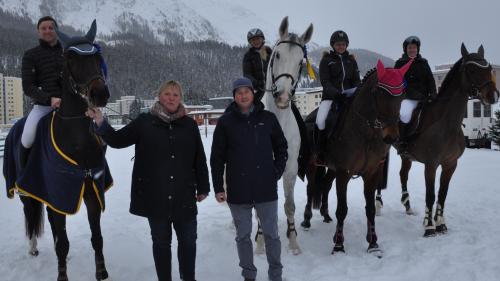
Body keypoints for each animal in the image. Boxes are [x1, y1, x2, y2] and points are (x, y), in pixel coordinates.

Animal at [2, 20, 112, 280]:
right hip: (26, 192)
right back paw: (33, 248)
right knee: (30, 214)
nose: (100, 94)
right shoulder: (56, 190)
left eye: (96, 57)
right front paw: (62, 275)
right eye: (70, 59)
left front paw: (101, 272)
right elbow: (63, 242)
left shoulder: (90, 191)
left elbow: (97, 238)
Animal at [300, 59, 414, 256]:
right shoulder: (344, 173)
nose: (391, 137)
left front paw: (373, 243)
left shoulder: (371, 173)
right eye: (378, 93)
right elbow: (342, 209)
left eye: (402, 94)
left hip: (331, 168)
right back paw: (307, 220)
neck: (365, 133)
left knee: (326, 185)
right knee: (311, 188)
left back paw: (325, 214)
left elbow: (370, 208)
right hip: (312, 164)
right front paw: (338, 245)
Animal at [376, 44, 498, 236]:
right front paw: (429, 226)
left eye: (489, 68)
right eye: (471, 69)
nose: (493, 96)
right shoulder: (431, 164)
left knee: (403, 174)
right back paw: (378, 205)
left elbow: (442, 194)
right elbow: (430, 194)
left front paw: (441, 224)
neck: (446, 123)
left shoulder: (450, 164)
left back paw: (408, 206)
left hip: (406, 156)